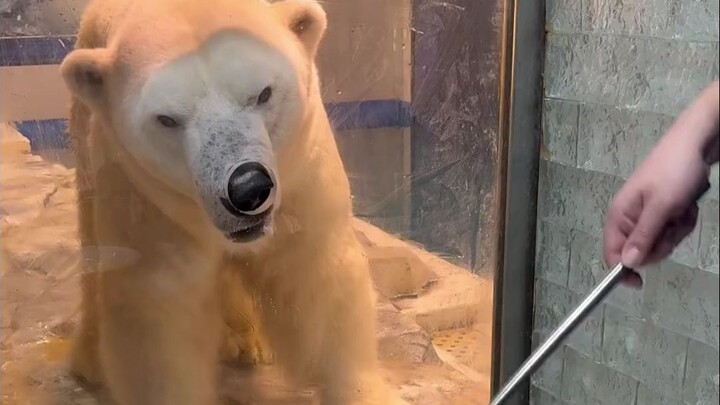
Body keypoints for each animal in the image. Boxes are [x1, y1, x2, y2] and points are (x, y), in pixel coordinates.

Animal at [59, 0, 404, 404]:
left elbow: (316, 280)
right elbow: (160, 317)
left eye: (263, 94)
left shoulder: (302, 173)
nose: (247, 189)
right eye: (167, 119)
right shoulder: (147, 200)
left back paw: (247, 341)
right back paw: (91, 361)